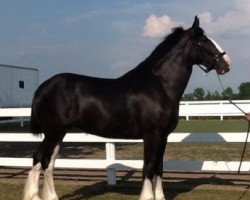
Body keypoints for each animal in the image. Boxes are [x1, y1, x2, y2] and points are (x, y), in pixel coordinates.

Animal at [23, 16, 230, 200]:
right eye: (203, 41)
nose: (226, 64)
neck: (158, 86)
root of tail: (42, 88)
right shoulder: (151, 135)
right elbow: (148, 167)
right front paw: (147, 197)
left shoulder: (163, 137)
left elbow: (159, 168)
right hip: (53, 133)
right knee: (42, 159)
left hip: (58, 134)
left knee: (45, 161)